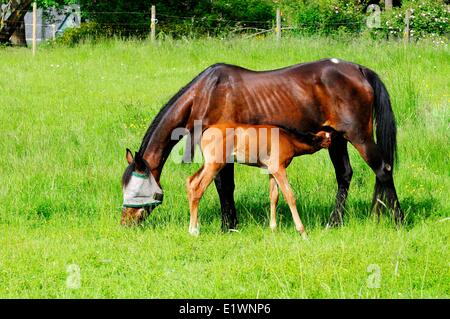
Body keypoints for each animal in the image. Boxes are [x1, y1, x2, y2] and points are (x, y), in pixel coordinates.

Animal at [185, 124, 330, 239]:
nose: (330, 144)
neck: (288, 138)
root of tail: (205, 132)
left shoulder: (271, 171)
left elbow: (274, 197)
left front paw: (273, 229)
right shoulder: (279, 169)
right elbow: (290, 196)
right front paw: (303, 233)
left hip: (209, 165)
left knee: (191, 182)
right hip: (215, 165)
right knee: (198, 187)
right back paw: (193, 231)